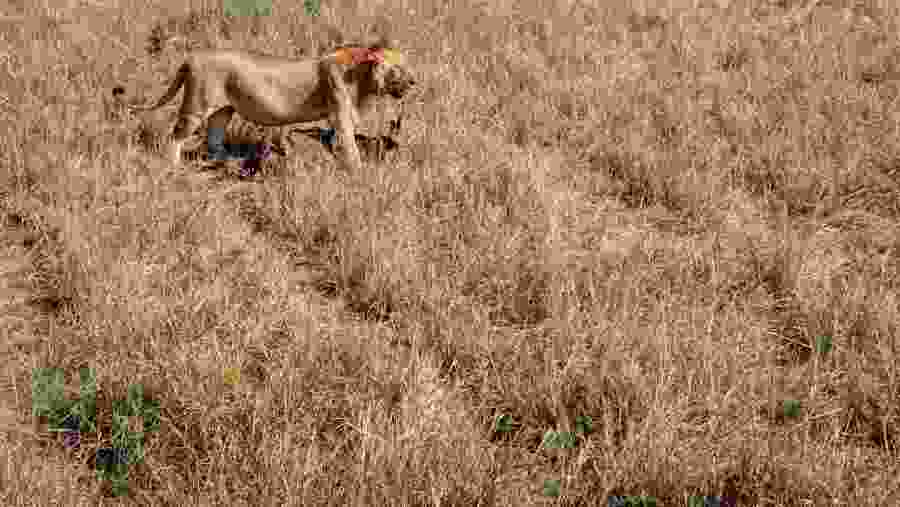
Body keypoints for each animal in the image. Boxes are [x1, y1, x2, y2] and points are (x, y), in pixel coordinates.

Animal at [112, 40, 416, 171]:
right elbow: (350, 146)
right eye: (397, 69)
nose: (414, 81)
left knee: (214, 137)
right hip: (197, 104)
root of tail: (191, 57)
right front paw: (359, 173)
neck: (362, 77)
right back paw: (173, 167)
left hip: (223, 110)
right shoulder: (340, 115)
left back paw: (227, 163)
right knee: (175, 136)